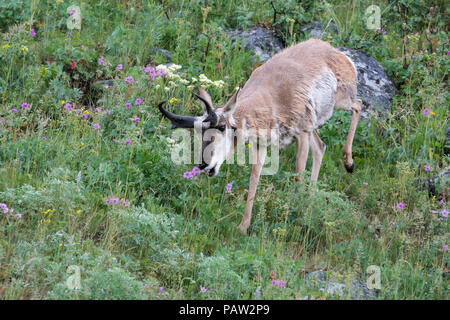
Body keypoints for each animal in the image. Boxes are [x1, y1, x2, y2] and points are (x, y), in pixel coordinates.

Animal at [158, 38, 362, 232]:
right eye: (199, 131)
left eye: (222, 127)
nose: (203, 164)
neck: (272, 98)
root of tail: (334, 51)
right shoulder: (261, 145)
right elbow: (254, 178)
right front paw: (243, 226)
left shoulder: (302, 134)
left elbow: (297, 176)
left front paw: (299, 217)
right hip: (316, 123)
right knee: (321, 147)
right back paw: (311, 200)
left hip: (340, 102)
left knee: (358, 105)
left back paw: (349, 163)